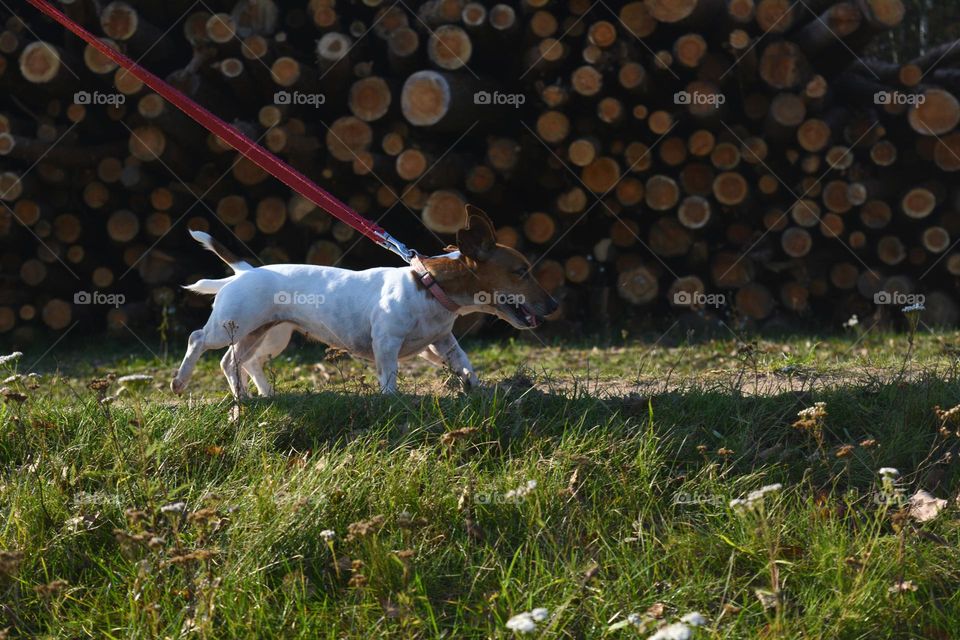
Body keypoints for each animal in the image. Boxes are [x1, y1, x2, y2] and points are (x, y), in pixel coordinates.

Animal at [170, 206, 560, 396]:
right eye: (522, 271)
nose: (555, 305)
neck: (429, 284)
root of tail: (244, 272)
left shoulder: (439, 342)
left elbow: (463, 362)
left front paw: (475, 387)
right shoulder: (386, 341)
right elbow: (389, 374)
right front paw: (390, 399)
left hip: (264, 333)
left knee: (236, 362)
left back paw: (252, 395)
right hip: (231, 324)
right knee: (198, 339)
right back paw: (181, 380)